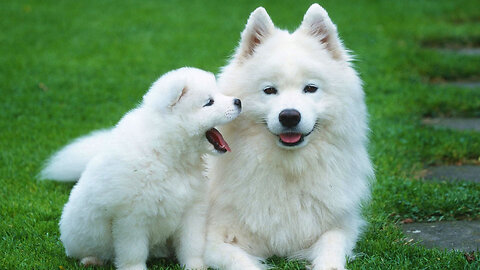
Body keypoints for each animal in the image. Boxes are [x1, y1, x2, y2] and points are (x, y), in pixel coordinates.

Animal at [40, 66, 244, 268]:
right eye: (209, 102)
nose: (238, 101)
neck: (167, 153)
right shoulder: (131, 218)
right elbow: (134, 252)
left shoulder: (191, 209)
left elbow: (192, 245)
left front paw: (195, 266)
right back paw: (91, 260)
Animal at [202, 4, 376, 270]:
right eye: (269, 90)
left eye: (311, 88)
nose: (290, 116)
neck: (288, 169)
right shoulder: (212, 241)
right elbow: (245, 264)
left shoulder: (339, 228)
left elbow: (331, 251)